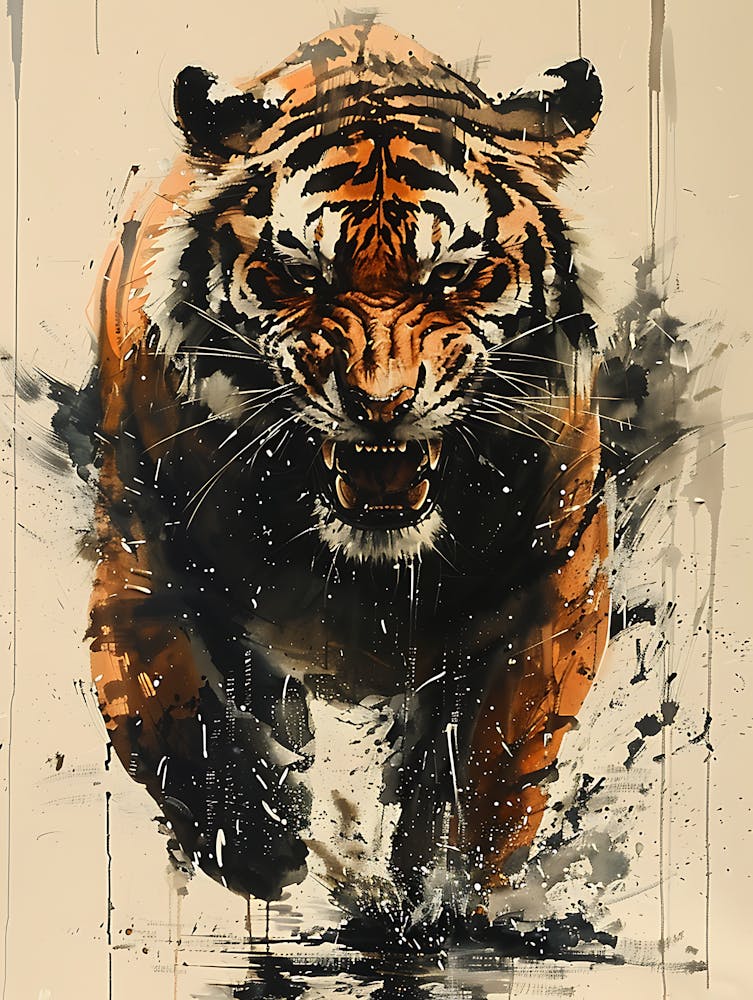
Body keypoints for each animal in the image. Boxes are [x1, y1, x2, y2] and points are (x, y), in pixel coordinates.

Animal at [87, 22, 610, 939]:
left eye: (454, 276)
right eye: (300, 276)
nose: (380, 404)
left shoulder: (553, 590)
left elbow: (487, 774)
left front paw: (446, 901)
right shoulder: (137, 557)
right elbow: (179, 714)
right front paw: (260, 844)